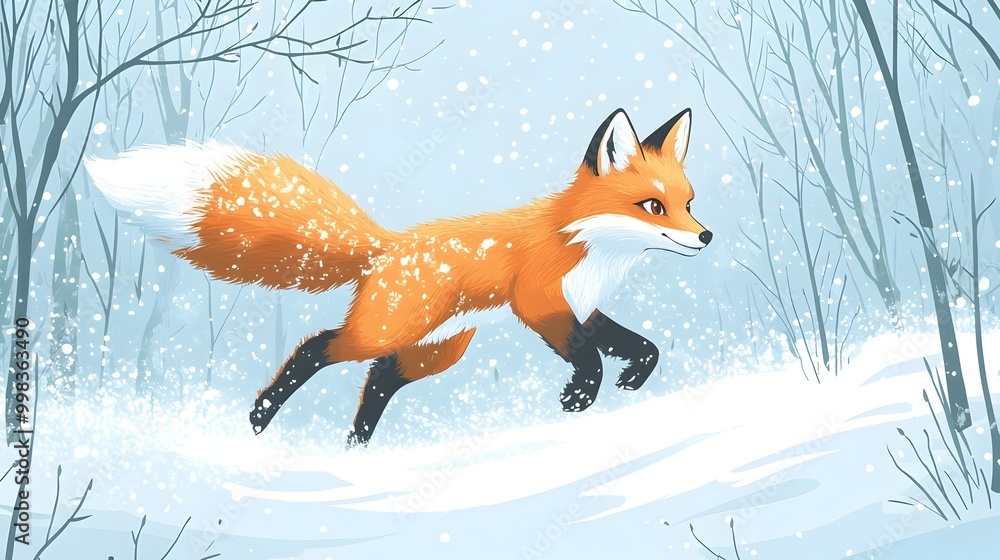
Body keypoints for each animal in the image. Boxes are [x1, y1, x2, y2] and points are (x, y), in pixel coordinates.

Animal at [85, 107, 712, 446]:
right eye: (652, 206)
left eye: (688, 203)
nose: (706, 236)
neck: (588, 248)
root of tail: (386, 245)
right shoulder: (540, 304)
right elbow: (590, 356)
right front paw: (582, 394)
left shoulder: (580, 306)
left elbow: (641, 346)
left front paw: (632, 377)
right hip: (387, 330)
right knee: (318, 349)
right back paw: (263, 417)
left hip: (439, 349)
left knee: (381, 378)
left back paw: (355, 449)